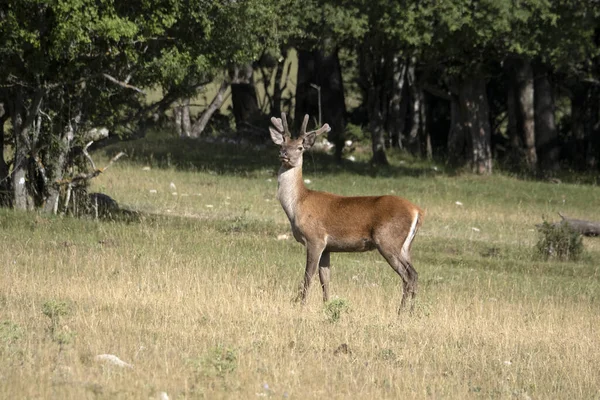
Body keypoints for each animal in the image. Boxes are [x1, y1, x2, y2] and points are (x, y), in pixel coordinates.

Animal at [270, 112, 424, 312]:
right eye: (281, 145)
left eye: (300, 147)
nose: (284, 155)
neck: (298, 205)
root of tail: (417, 211)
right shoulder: (327, 247)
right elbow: (325, 280)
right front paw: (327, 306)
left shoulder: (315, 239)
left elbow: (308, 276)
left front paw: (302, 306)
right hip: (405, 246)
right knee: (414, 274)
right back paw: (411, 311)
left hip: (388, 240)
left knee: (408, 275)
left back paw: (401, 312)